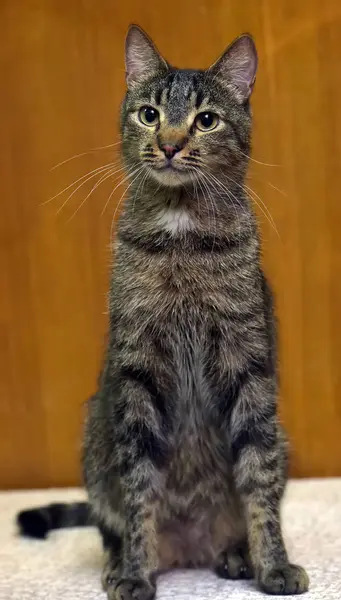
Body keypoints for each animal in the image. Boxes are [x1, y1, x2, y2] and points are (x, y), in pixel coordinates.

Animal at [17, 24, 308, 600]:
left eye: (206, 119)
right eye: (149, 114)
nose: (170, 143)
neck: (181, 235)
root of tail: (191, 550)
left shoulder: (249, 366)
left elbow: (259, 479)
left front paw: (273, 563)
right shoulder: (138, 373)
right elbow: (138, 491)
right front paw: (135, 569)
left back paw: (236, 554)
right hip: (94, 433)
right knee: (108, 522)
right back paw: (119, 562)